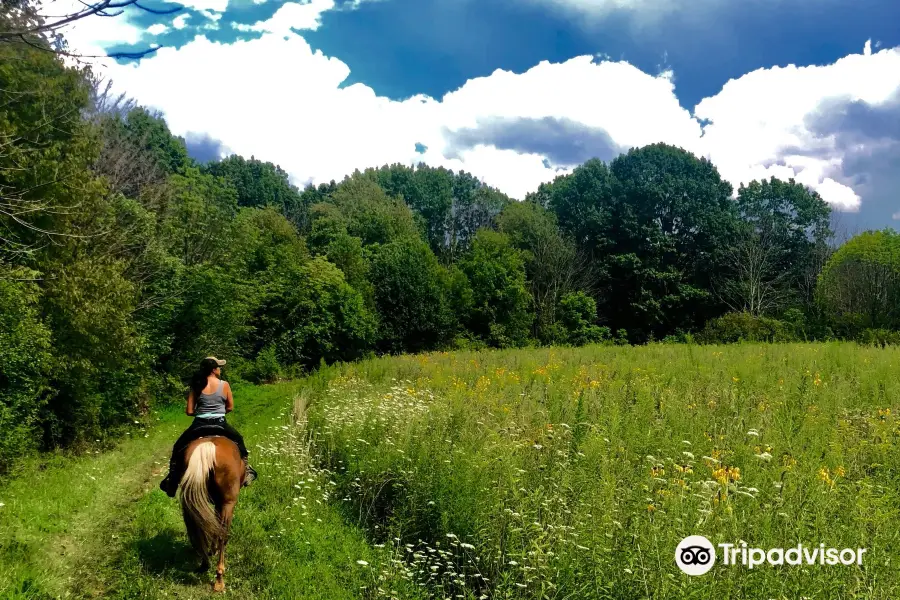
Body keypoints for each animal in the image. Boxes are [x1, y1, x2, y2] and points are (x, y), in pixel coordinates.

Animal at [178, 434, 244, 592]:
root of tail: (207, 447)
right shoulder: (223, 504)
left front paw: (211, 550)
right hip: (228, 504)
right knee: (222, 535)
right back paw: (219, 579)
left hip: (190, 501)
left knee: (198, 529)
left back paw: (204, 564)